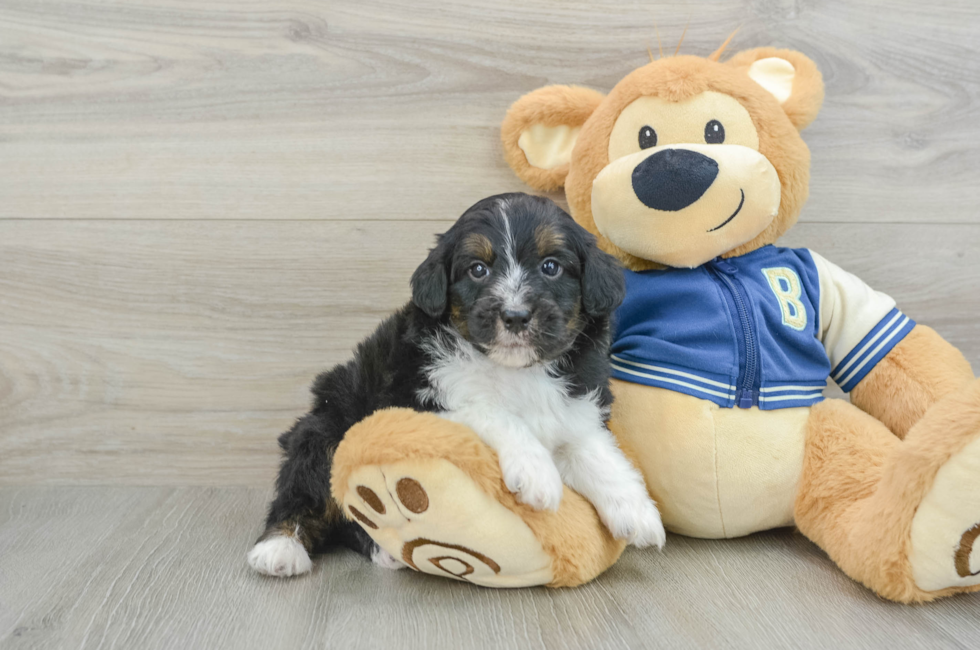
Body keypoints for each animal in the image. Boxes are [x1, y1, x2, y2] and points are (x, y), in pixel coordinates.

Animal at [245, 190, 668, 576]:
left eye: (551, 266)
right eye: (477, 270)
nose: (515, 316)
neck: (516, 370)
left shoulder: (573, 408)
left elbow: (596, 452)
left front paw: (636, 510)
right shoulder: (419, 399)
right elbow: (492, 411)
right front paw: (537, 473)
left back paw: (380, 548)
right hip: (324, 430)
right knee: (305, 494)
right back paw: (281, 548)